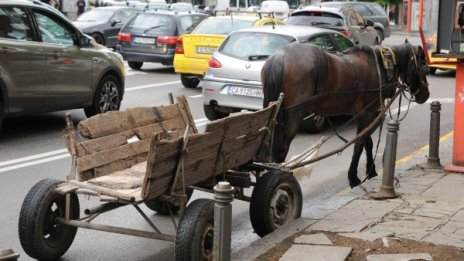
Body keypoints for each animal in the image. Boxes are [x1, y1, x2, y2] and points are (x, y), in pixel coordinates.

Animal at [262, 40, 430, 187]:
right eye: (423, 66)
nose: (426, 95)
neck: (382, 66)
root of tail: (280, 56)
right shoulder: (369, 113)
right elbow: (360, 143)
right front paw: (354, 177)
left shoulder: (364, 115)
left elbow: (367, 141)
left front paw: (370, 170)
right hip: (294, 115)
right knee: (282, 148)